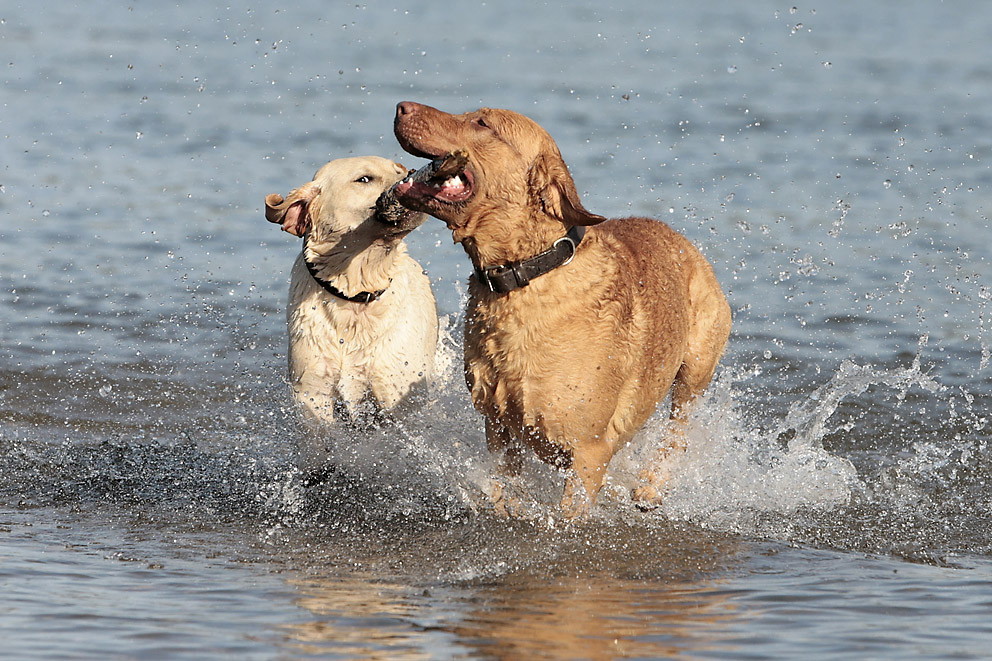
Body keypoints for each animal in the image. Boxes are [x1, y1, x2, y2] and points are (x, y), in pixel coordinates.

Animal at [392, 102, 732, 516]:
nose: (401, 107)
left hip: (696, 364)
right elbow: (505, 486)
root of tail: (680, 238)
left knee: (679, 428)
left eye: (482, 122)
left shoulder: (589, 451)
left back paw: (651, 488)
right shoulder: (498, 427)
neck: (523, 275)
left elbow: (569, 514)